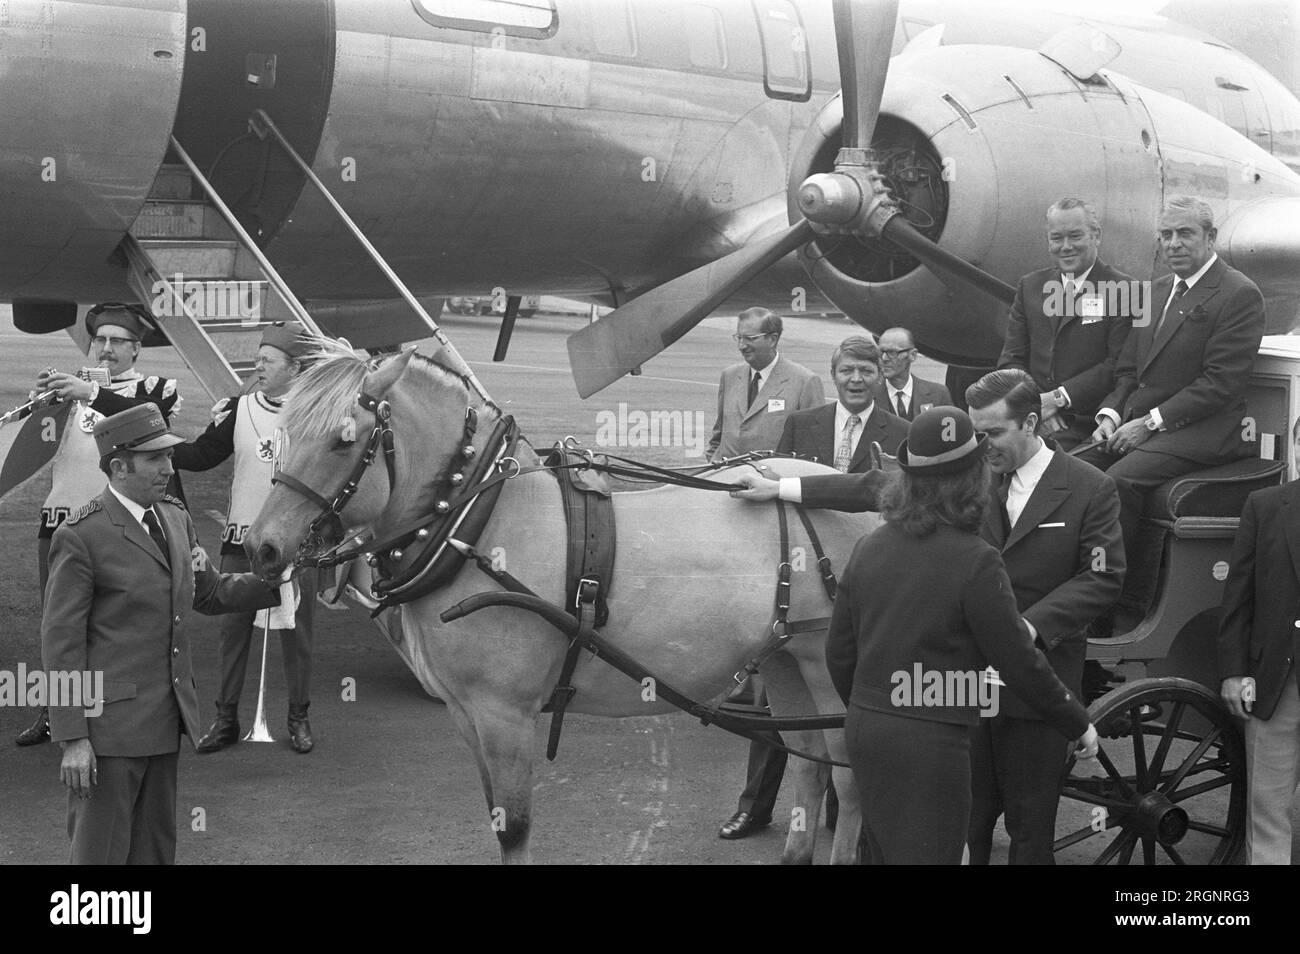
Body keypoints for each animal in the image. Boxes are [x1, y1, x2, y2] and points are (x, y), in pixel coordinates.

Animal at [244, 345, 878, 868]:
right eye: (285, 429)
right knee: (809, 765)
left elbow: (514, 829)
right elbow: (495, 814)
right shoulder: (467, 713)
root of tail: (870, 494)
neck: (478, 520)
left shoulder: (505, 712)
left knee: (848, 781)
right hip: (786, 659)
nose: (262, 546)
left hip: (827, 668)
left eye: (344, 440)